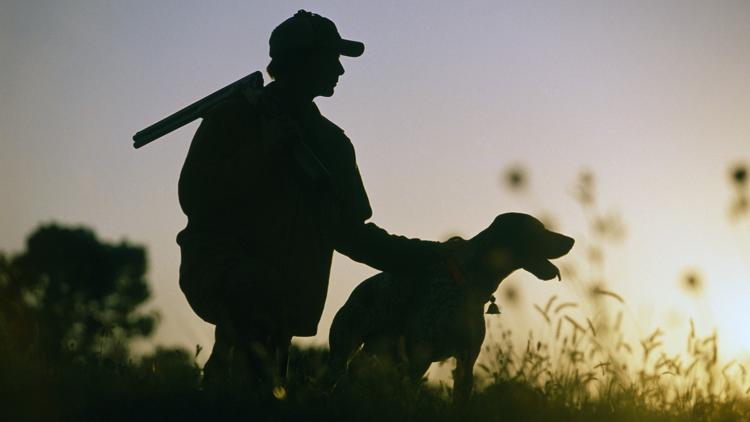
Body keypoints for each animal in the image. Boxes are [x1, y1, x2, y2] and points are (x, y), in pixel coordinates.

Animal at [328, 213, 576, 400]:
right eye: (538, 229)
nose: (571, 240)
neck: (468, 282)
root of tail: (360, 289)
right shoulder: (418, 359)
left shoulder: (467, 361)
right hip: (345, 350)